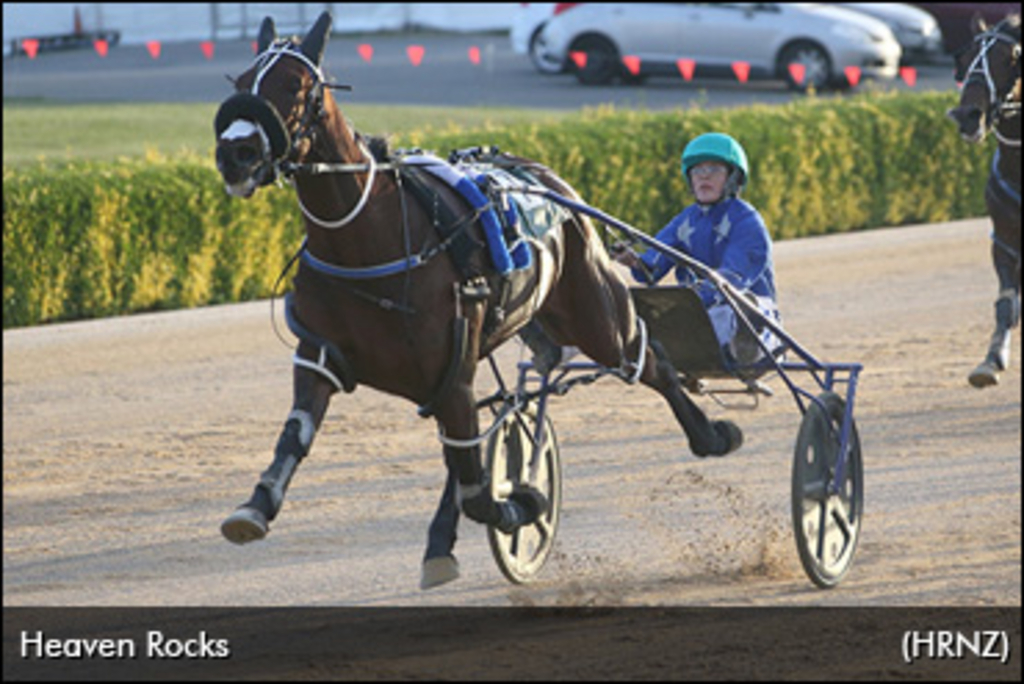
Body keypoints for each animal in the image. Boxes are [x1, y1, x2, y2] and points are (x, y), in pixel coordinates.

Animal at [216, 10, 741, 589]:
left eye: (295, 84)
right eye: (241, 82)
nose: (235, 153)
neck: (369, 239)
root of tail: (549, 179)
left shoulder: (449, 368)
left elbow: (476, 482)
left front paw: (523, 502)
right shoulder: (324, 356)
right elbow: (297, 435)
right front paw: (254, 507)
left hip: (595, 315)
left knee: (650, 359)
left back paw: (711, 435)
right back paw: (439, 544)